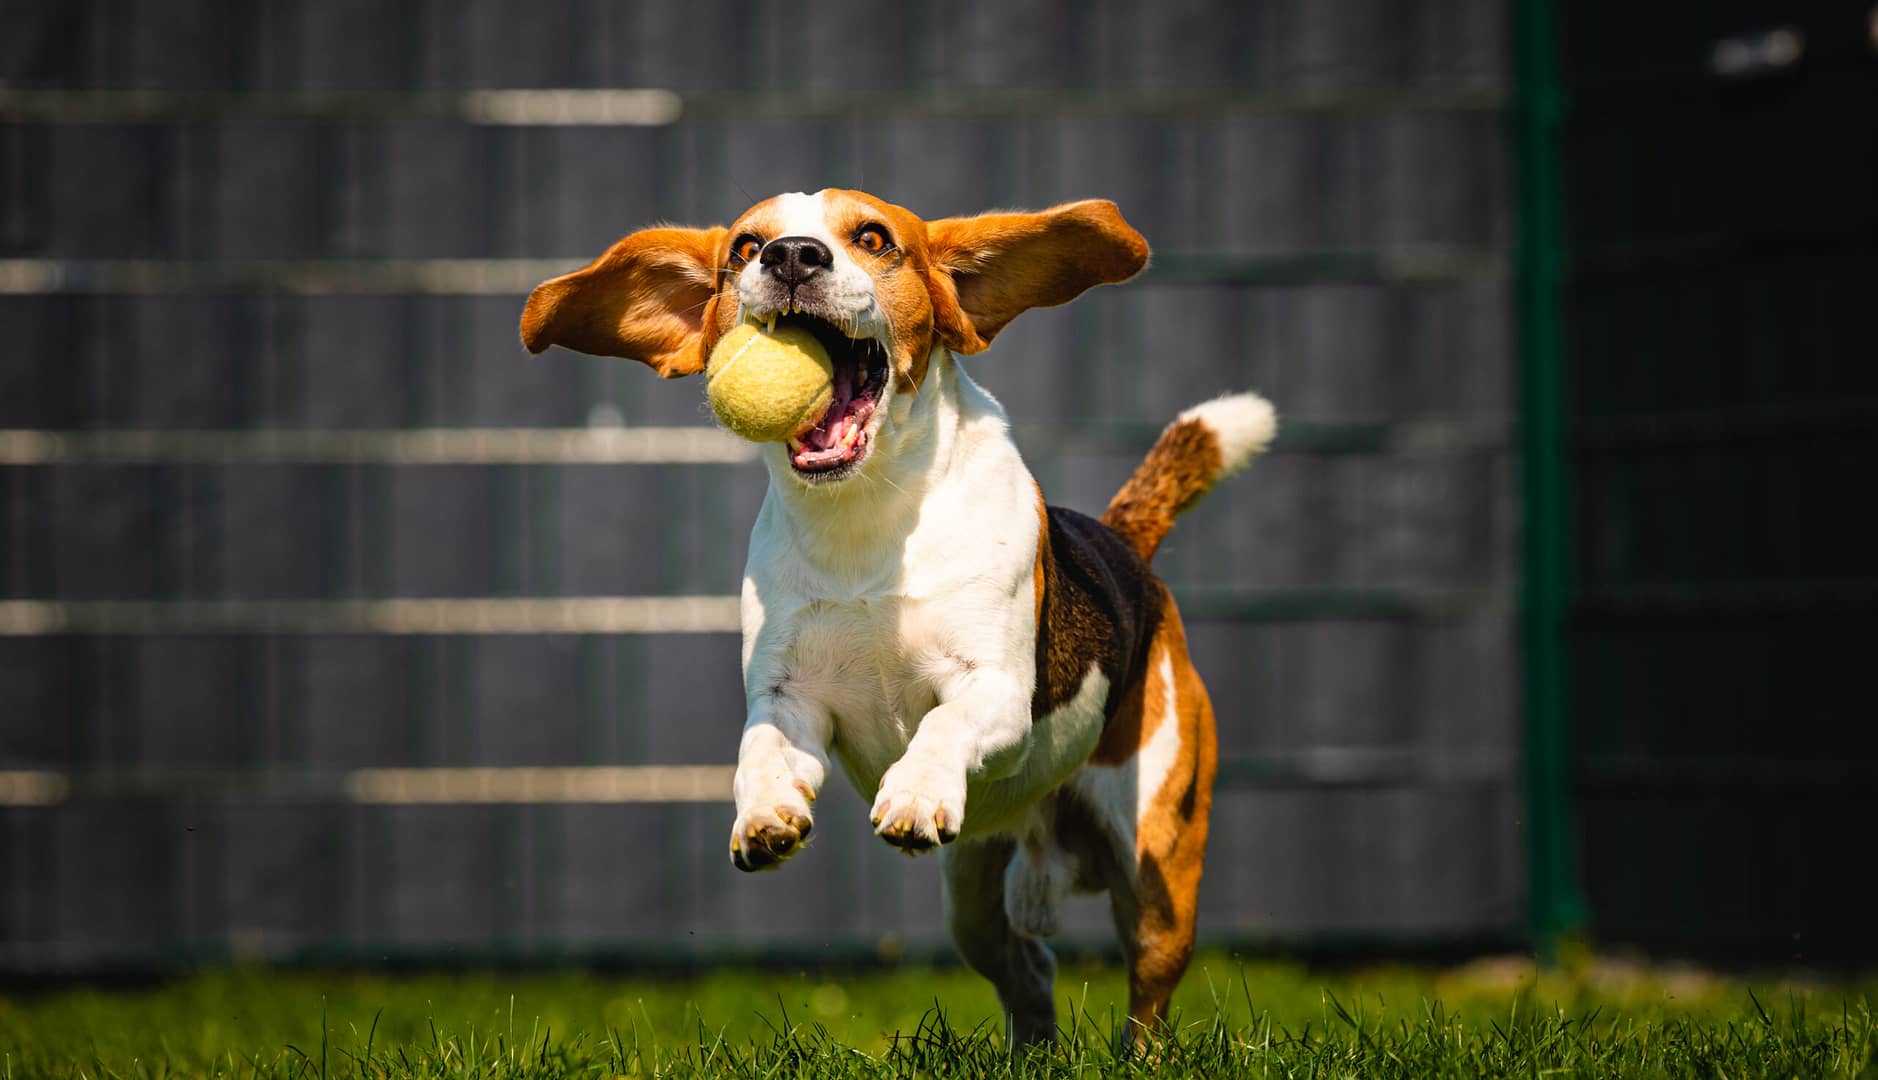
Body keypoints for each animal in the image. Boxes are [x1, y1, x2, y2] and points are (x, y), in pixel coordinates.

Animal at [522, 189, 1269, 1044]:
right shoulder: (789, 698)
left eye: (874, 238)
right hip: (971, 896)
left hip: (1157, 865)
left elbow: (942, 725)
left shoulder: (995, 693)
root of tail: (1125, 544)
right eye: (745, 247)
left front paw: (913, 793)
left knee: (1147, 997)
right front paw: (764, 812)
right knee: (1028, 972)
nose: (791, 256)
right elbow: (760, 748)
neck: (865, 516)